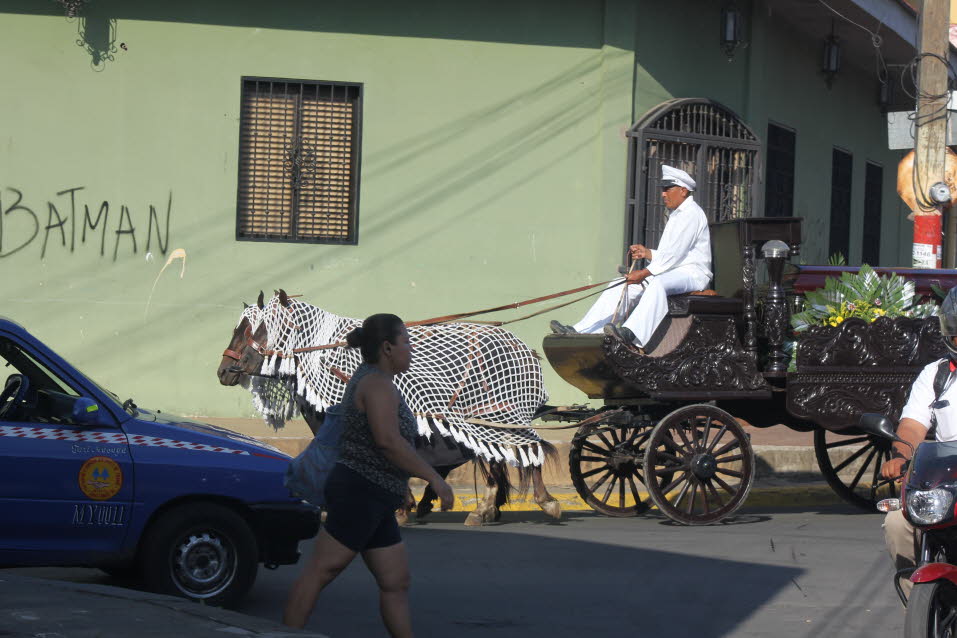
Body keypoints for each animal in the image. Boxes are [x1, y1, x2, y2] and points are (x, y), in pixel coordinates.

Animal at [217, 292, 560, 528]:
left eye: (257, 329)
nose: (225, 371)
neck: (324, 352)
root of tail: (523, 348)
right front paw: (402, 505)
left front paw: (398, 506)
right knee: (498, 459)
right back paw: (485, 507)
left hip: (494, 416)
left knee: (521, 452)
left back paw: (534, 502)